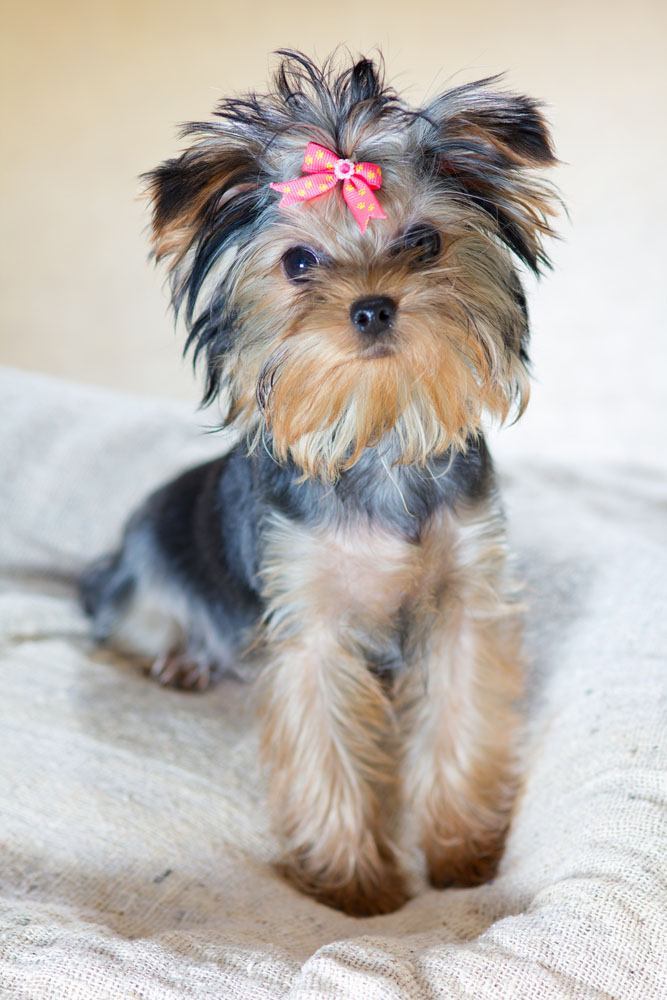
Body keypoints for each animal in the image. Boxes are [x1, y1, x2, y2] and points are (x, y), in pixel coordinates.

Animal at [82, 52, 560, 916]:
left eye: (423, 241)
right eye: (298, 262)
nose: (371, 307)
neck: (375, 432)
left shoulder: (466, 601)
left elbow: (461, 717)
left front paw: (459, 853)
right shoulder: (311, 621)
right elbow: (325, 748)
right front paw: (355, 887)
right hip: (145, 574)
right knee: (131, 628)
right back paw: (181, 661)